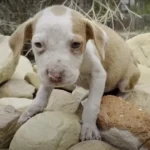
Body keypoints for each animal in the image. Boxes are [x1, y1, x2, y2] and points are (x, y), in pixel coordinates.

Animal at [9, 4, 141, 141]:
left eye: (76, 44)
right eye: (38, 44)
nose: (55, 76)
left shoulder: (98, 74)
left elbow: (92, 105)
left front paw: (89, 128)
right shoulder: (45, 75)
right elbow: (42, 94)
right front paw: (31, 110)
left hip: (127, 79)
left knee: (126, 90)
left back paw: (120, 97)